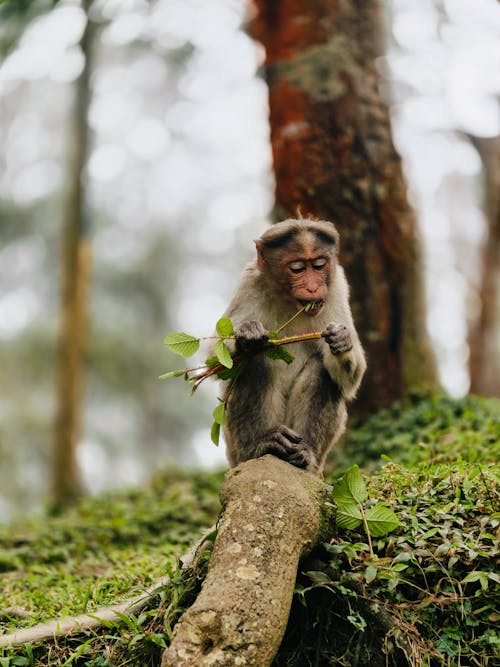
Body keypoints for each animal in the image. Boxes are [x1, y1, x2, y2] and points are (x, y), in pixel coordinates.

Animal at [217, 218, 366, 474]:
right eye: (297, 268)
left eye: (318, 265)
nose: (313, 287)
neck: (289, 302)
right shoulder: (249, 284)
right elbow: (220, 362)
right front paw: (247, 336)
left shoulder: (337, 287)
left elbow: (351, 378)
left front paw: (342, 340)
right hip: (234, 449)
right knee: (257, 359)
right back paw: (262, 445)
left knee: (323, 370)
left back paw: (304, 454)